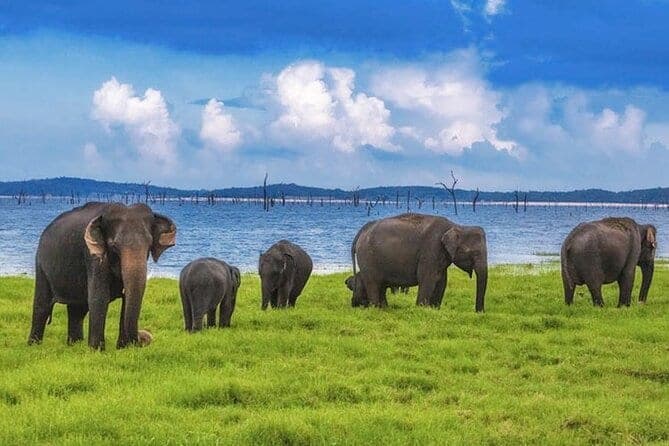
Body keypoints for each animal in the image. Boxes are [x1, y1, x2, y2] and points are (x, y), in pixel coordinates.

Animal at [27, 202, 176, 349]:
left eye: (149, 245)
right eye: (114, 246)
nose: (143, 338)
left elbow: (126, 300)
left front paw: (123, 349)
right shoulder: (92, 255)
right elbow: (99, 297)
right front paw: (97, 350)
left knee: (77, 309)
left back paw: (74, 345)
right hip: (41, 265)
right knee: (42, 306)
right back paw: (34, 346)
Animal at [352, 213, 488, 312]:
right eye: (474, 253)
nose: (479, 312)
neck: (457, 226)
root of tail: (362, 230)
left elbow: (441, 281)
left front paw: (435, 310)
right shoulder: (431, 249)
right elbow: (427, 278)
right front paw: (421, 309)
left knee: (381, 286)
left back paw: (385, 308)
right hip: (367, 258)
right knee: (373, 284)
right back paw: (376, 309)